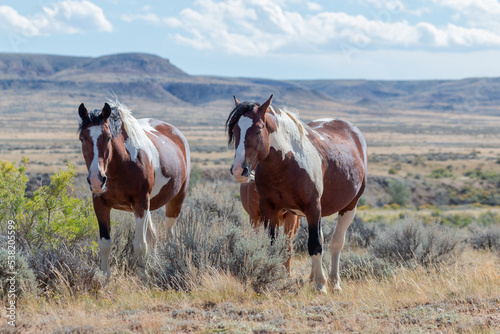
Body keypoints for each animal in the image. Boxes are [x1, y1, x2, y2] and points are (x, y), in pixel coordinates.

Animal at [79, 100, 190, 278]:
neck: (122, 164)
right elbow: (105, 243)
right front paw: (105, 277)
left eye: (108, 137)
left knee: (169, 234)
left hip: (175, 201)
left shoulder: (140, 204)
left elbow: (139, 244)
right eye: (82, 138)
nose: (97, 180)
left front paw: (143, 276)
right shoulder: (100, 204)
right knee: (153, 236)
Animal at [227, 94, 368, 292]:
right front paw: (275, 279)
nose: (239, 170)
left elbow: (315, 246)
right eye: (235, 130)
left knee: (336, 243)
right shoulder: (269, 209)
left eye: (258, 130)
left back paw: (333, 282)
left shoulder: (312, 208)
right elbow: (274, 246)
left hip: (349, 207)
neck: (286, 165)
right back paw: (313, 278)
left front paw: (321, 286)